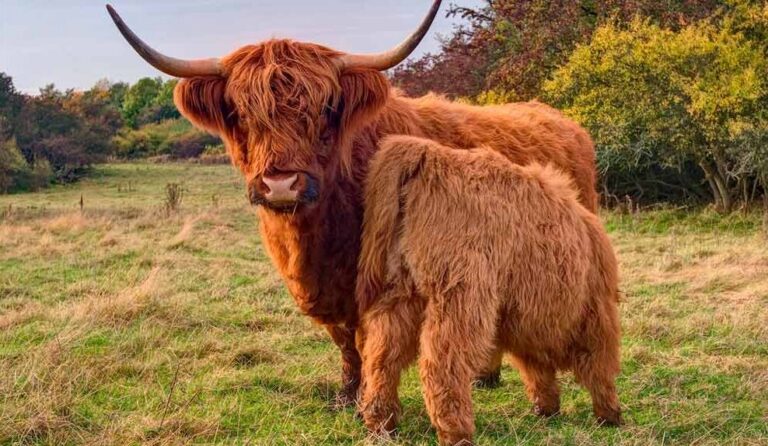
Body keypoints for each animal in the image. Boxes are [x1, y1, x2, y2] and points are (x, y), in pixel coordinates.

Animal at [106, 1, 599, 406]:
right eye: (241, 114)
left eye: (326, 109)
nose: (281, 185)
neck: (315, 238)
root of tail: (559, 119)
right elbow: (343, 339)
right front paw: (346, 392)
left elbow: (365, 338)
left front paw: (365, 397)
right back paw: (485, 375)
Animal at [355, 136, 621, 445]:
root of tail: (427, 154)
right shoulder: (597, 312)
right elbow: (599, 365)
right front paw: (609, 414)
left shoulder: (523, 314)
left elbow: (536, 366)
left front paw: (547, 407)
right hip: (462, 294)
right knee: (442, 363)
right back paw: (457, 432)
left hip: (402, 292)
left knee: (382, 355)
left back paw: (381, 423)